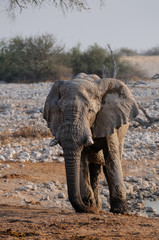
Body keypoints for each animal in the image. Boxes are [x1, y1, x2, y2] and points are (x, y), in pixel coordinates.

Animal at [42, 72, 139, 214]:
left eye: (90, 111)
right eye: (60, 110)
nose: (88, 208)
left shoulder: (108, 118)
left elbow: (111, 157)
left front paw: (121, 211)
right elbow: (82, 160)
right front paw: (89, 206)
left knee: (106, 165)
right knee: (94, 170)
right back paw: (97, 206)